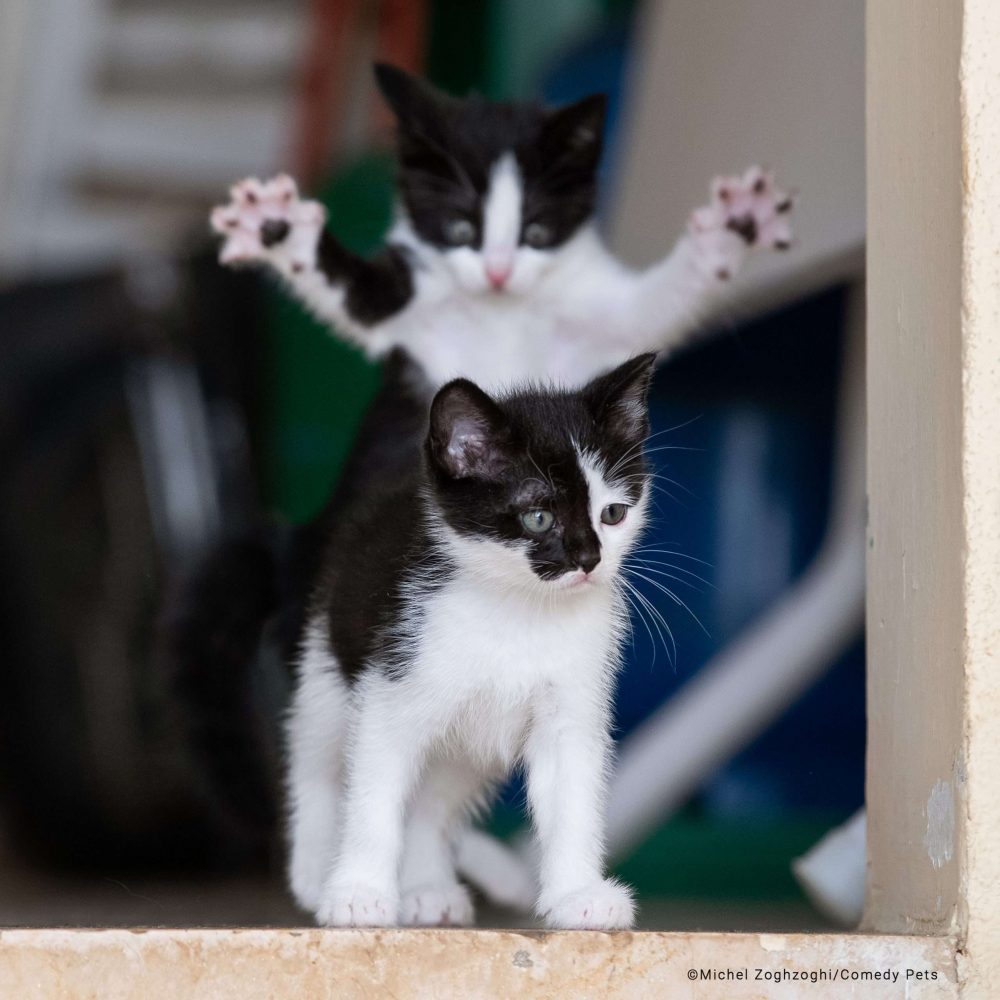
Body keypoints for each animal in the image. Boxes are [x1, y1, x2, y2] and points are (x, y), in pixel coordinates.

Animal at [290, 354, 660, 928]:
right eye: (538, 517)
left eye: (613, 514)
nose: (589, 560)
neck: (518, 609)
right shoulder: (392, 685)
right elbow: (374, 795)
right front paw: (359, 892)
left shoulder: (571, 707)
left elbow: (572, 799)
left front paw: (578, 894)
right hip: (326, 662)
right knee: (317, 763)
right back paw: (312, 873)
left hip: (464, 749)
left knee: (430, 801)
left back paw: (426, 887)